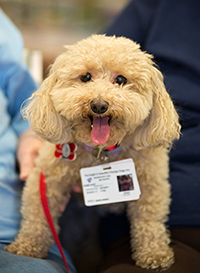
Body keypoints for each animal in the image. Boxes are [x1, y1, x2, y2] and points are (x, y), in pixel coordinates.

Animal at [4, 35, 180, 268]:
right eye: (86, 77)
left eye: (121, 80)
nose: (99, 105)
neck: (101, 152)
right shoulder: (45, 180)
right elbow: (37, 215)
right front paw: (26, 247)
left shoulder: (152, 185)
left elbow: (149, 220)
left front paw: (154, 253)